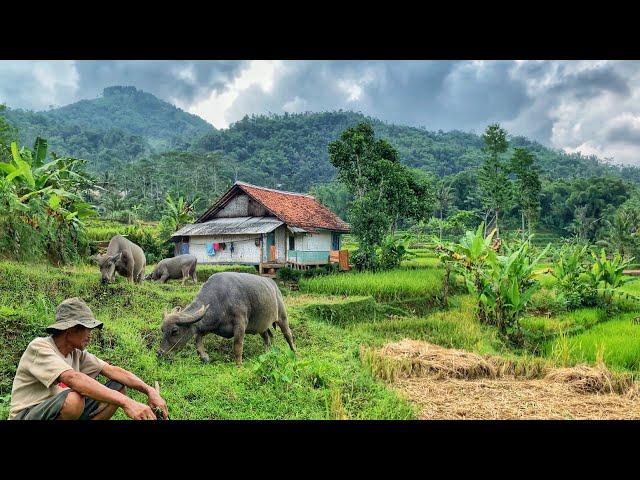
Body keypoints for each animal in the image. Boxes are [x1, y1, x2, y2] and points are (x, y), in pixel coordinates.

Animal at [156, 272, 296, 366]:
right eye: (162, 330)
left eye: (174, 331)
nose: (159, 353)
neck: (220, 299)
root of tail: (274, 286)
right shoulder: (211, 325)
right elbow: (197, 338)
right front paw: (204, 357)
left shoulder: (240, 325)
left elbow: (237, 346)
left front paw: (239, 366)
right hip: (261, 325)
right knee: (267, 337)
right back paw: (267, 353)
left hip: (282, 316)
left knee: (288, 335)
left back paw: (295, 353)